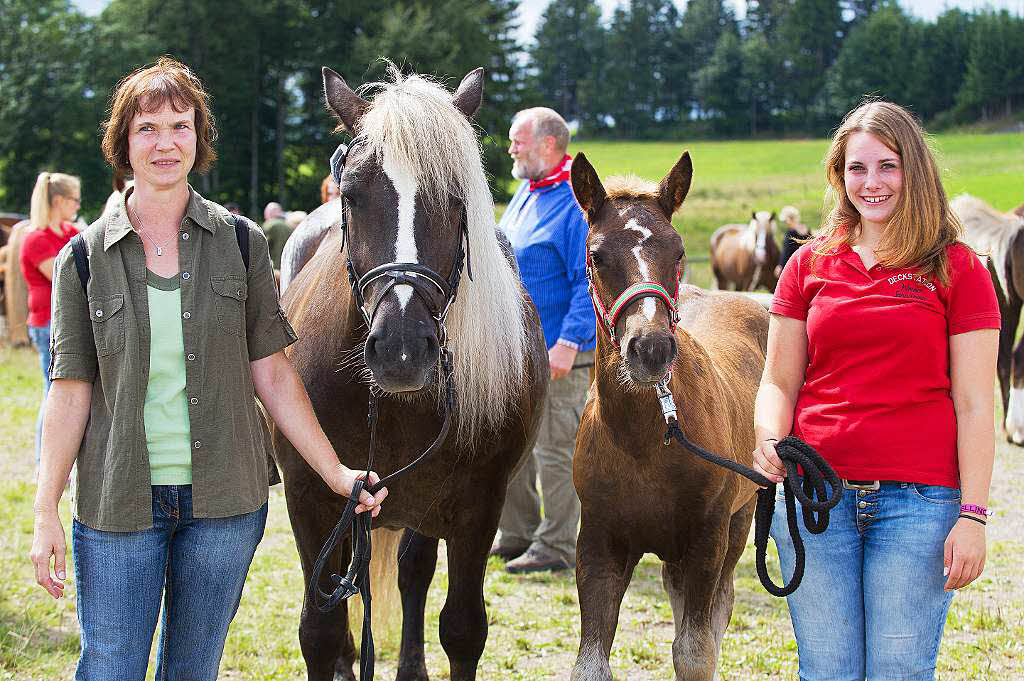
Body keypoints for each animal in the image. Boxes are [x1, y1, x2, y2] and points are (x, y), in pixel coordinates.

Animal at [268, 65, 548, 679]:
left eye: (456, 196)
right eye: (352, 194)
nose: (399, 348)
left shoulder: (477, 509)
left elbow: (463, 629)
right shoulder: (313, 498)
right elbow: (319, 629)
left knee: (412, 572)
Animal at [569, 153, 770, 679]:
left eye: (678, 251)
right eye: (597, 255)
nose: (652, 348)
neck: (642, 442)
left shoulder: (706, 542)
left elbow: (696, 651)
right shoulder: (598, 543)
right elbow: (591, 662)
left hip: (739, 522)